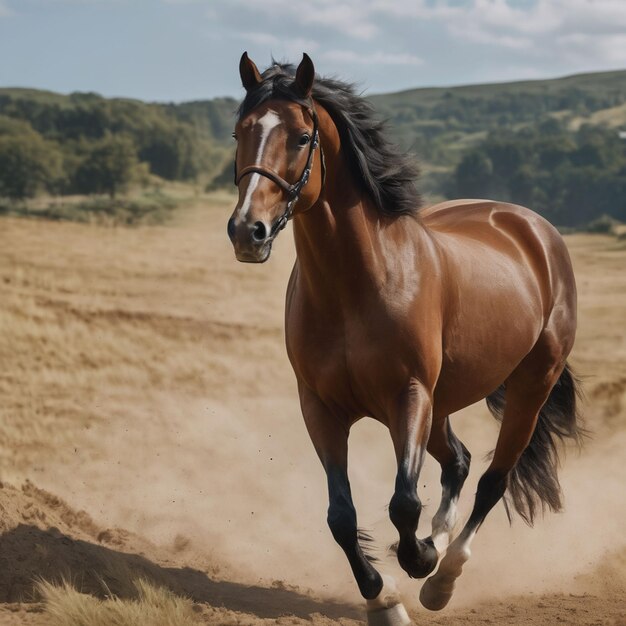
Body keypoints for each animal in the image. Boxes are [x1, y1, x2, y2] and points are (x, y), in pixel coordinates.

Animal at [227, 52, 584, 620]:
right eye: (240, 132)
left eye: (302, 137)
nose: (248, 232)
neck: (357, 286)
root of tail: (531, 227)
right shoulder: (320, 407)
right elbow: (341, 515)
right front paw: (384, 597)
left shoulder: (408, 396)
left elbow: (404, 501)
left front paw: (417, 563)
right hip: (442, 405)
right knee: (459, 462)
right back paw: (436, 546)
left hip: (528, 389)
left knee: (492, 481)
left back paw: (443, 577)